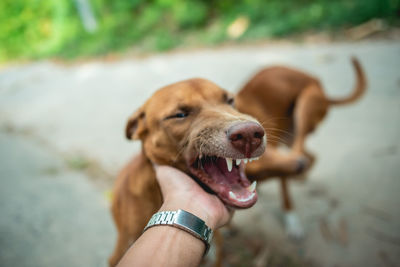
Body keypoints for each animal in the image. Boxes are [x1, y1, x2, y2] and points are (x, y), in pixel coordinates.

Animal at [236, 57, 368, 238]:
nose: (297, 166)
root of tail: (321, 88)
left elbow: (286, 197)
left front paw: (293, 224)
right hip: (289, 136)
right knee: (311, 155)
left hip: (304, 108)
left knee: (303, 152)